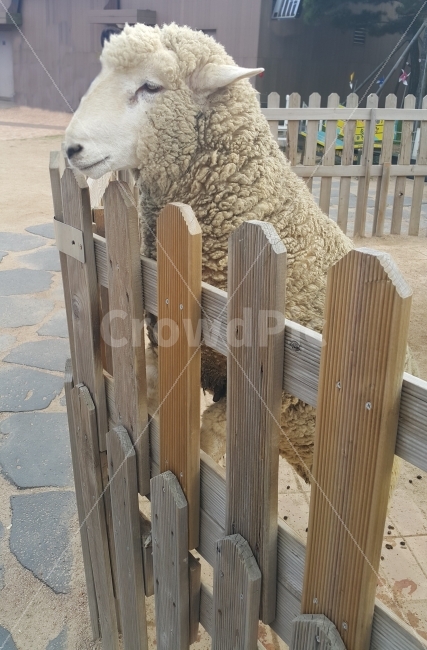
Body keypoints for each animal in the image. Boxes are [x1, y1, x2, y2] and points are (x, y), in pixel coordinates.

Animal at [64, 23, 412, 486]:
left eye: (151, 86)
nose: (70, 149)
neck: (249, 200)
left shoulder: (272, 395)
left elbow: (207, 438)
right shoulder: (166, 350)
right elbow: (152, 396)